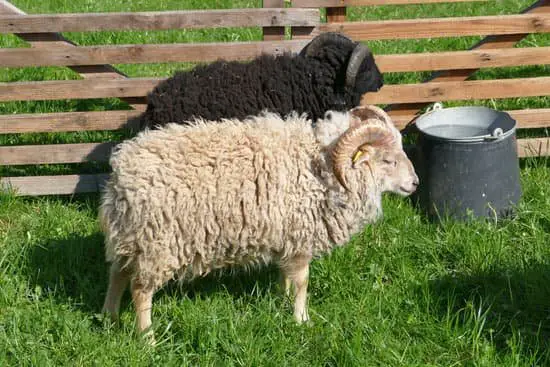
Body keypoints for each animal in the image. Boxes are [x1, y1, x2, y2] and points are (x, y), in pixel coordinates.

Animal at [99, 105, 420, 338]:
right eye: (388, 160)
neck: (322, 168)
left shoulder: (288, 238)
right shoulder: (301, 238)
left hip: (130, 237)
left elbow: (286, 276)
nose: (415, 183)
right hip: (157, 243)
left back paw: (109, 318)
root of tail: (122, 173)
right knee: (140, 291)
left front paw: (281, 299)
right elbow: (302, 282)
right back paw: (148, 339)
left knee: (117, 274)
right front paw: (301, 320)